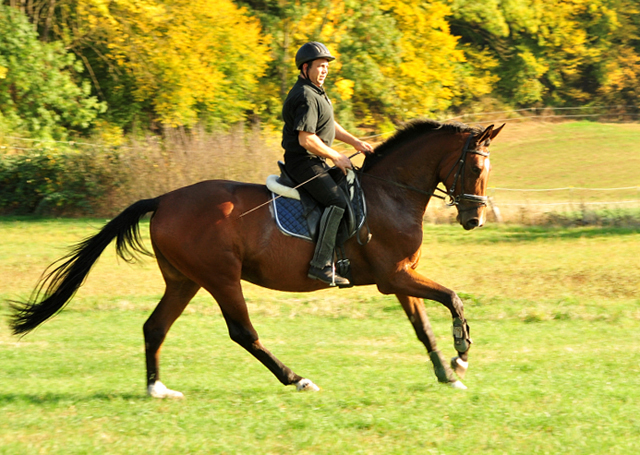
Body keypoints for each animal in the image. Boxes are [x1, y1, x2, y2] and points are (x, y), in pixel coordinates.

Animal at [7, 120, 502, 400]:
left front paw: (448, 374)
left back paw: (157, 388)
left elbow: (422, 326)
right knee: (242, 332)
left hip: (183, 280)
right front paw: (461, 356)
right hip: (221, 277)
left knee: (154, 327)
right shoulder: (395, 276)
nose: (474, 219)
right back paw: (297, 379)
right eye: (476, 168)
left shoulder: (401, 277)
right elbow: (452, 298)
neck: (391, 193)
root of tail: (164, 199)